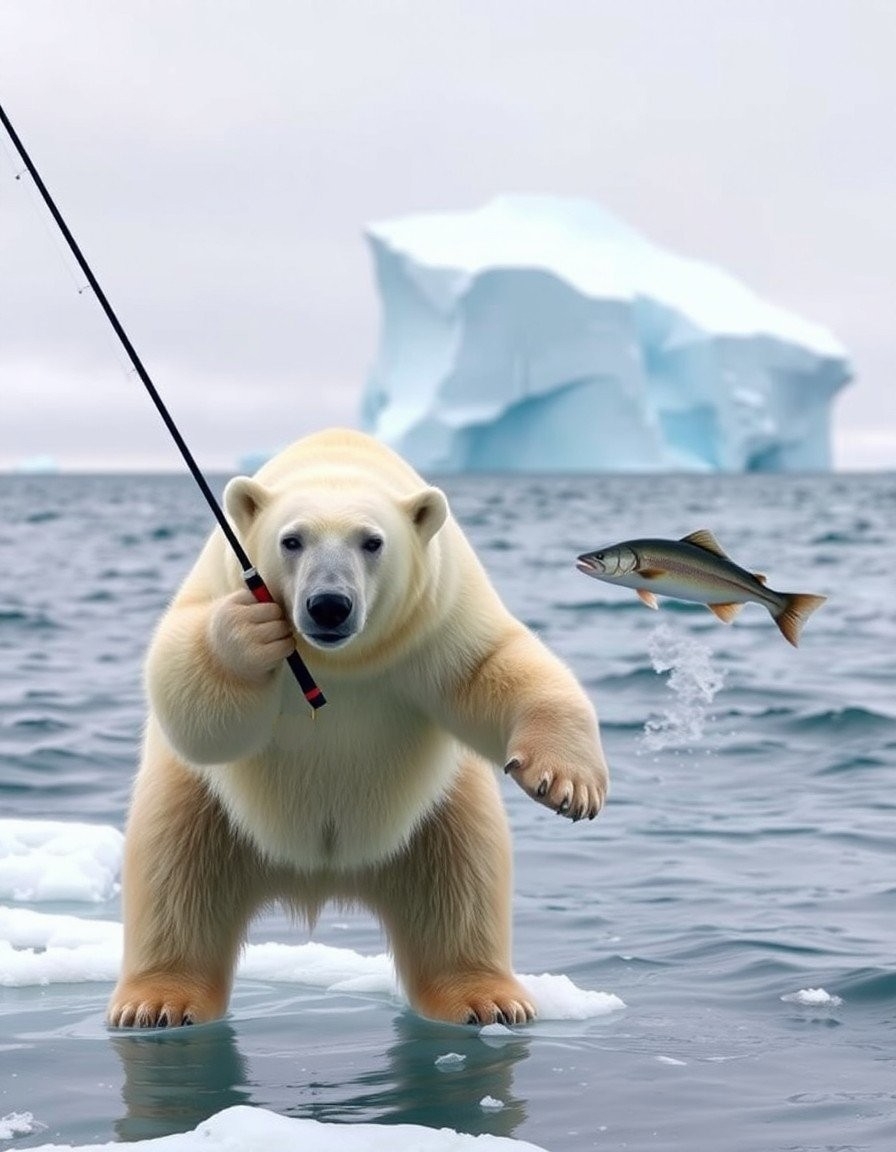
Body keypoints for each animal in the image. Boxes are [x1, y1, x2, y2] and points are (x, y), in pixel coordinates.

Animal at [107, 428, 608, 1029]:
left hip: (433, 816)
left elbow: (499, 664)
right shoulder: (219, 579)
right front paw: (249, 635)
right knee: (174, 878)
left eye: (372, 542)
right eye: (291, 540)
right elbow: (186, 687)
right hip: (207, 807)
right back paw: (157, 1002)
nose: (328, 605)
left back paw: (485, 999)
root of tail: (319, 877)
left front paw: (567, 785)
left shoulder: (438, 621)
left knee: (463, 885)